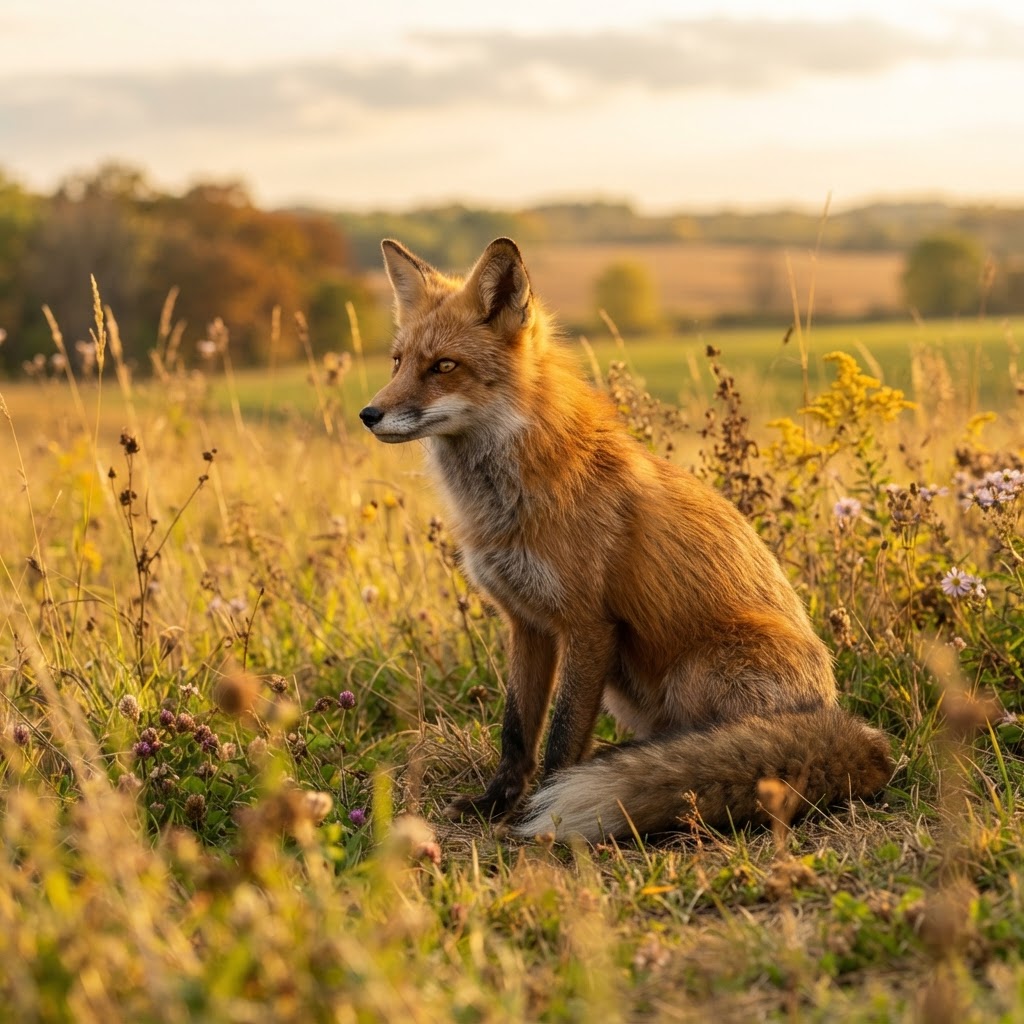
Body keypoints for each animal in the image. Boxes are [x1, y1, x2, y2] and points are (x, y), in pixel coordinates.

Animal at [359, 236, 893, 843]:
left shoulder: (588, 624)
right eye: (398, 362)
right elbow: (517, 731)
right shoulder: (527, 623)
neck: (510, 499)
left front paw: (539, 815)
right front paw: (497, 804)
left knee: (715, 747)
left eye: (444, 367)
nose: (369, 413)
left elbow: (562, 737)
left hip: (695, 672)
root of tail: (851, 728)